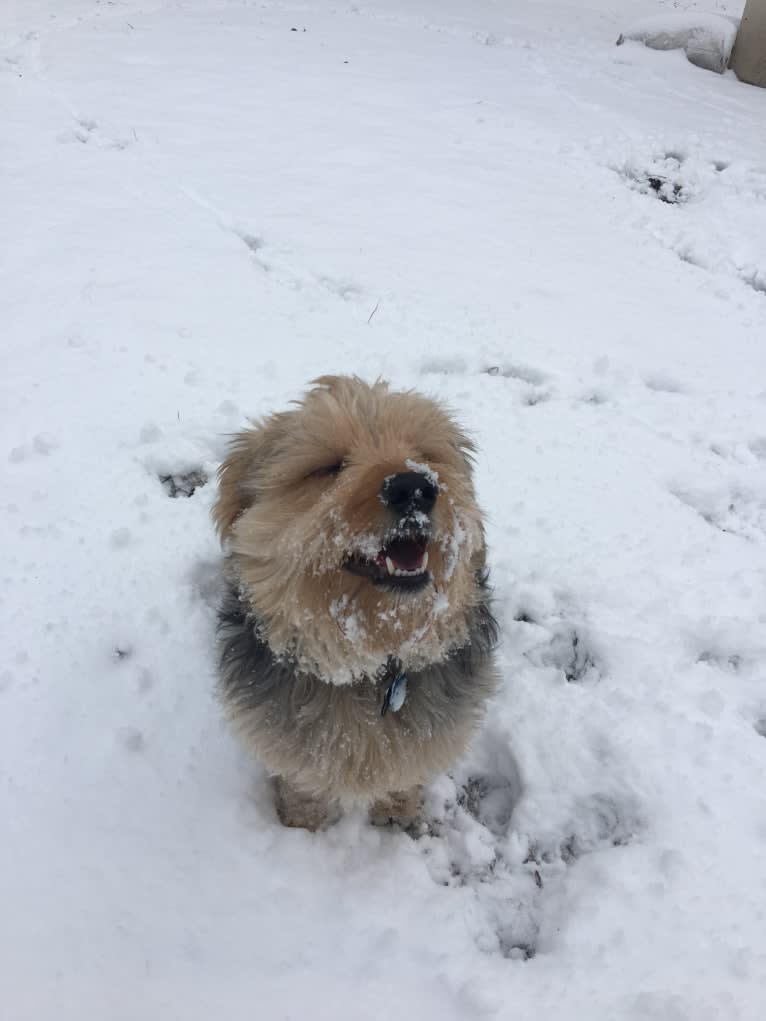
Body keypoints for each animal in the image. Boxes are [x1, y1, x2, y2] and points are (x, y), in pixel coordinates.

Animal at [213, 375, 500, 829]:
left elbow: (403, 778)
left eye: (425, 455)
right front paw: (303, 825)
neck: (366, 666)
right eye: (329, 467)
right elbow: (303, 783)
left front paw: (398, 817)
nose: (414, 486)